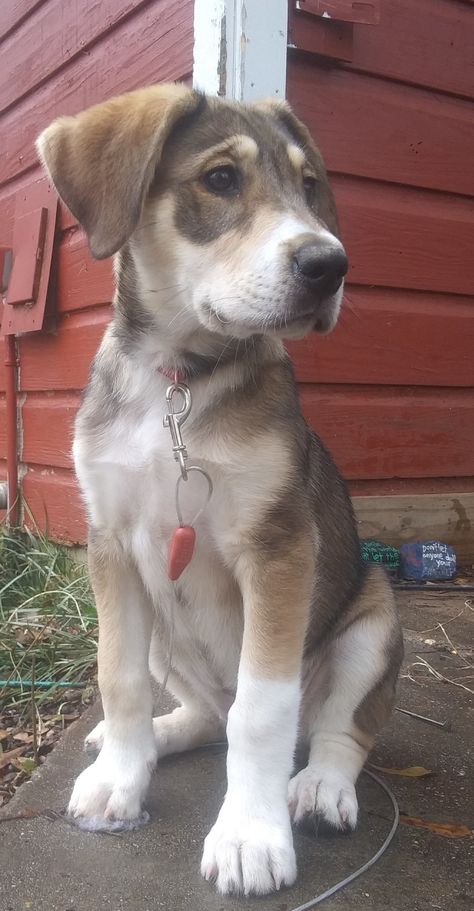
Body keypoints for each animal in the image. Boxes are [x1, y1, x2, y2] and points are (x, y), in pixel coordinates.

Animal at [37, 85, 402, 896]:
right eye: (221, 180)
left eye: (308, 186)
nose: (330, 265)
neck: (176, 381)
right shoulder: (111, 547)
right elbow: (117, 676)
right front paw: (121, 776)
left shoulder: (278, 550)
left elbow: (263, 712)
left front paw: (248, 834)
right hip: (166, 631)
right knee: (205, 713)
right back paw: (150, 739)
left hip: (375, 616)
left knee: (336, 728)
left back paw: (319, 787)